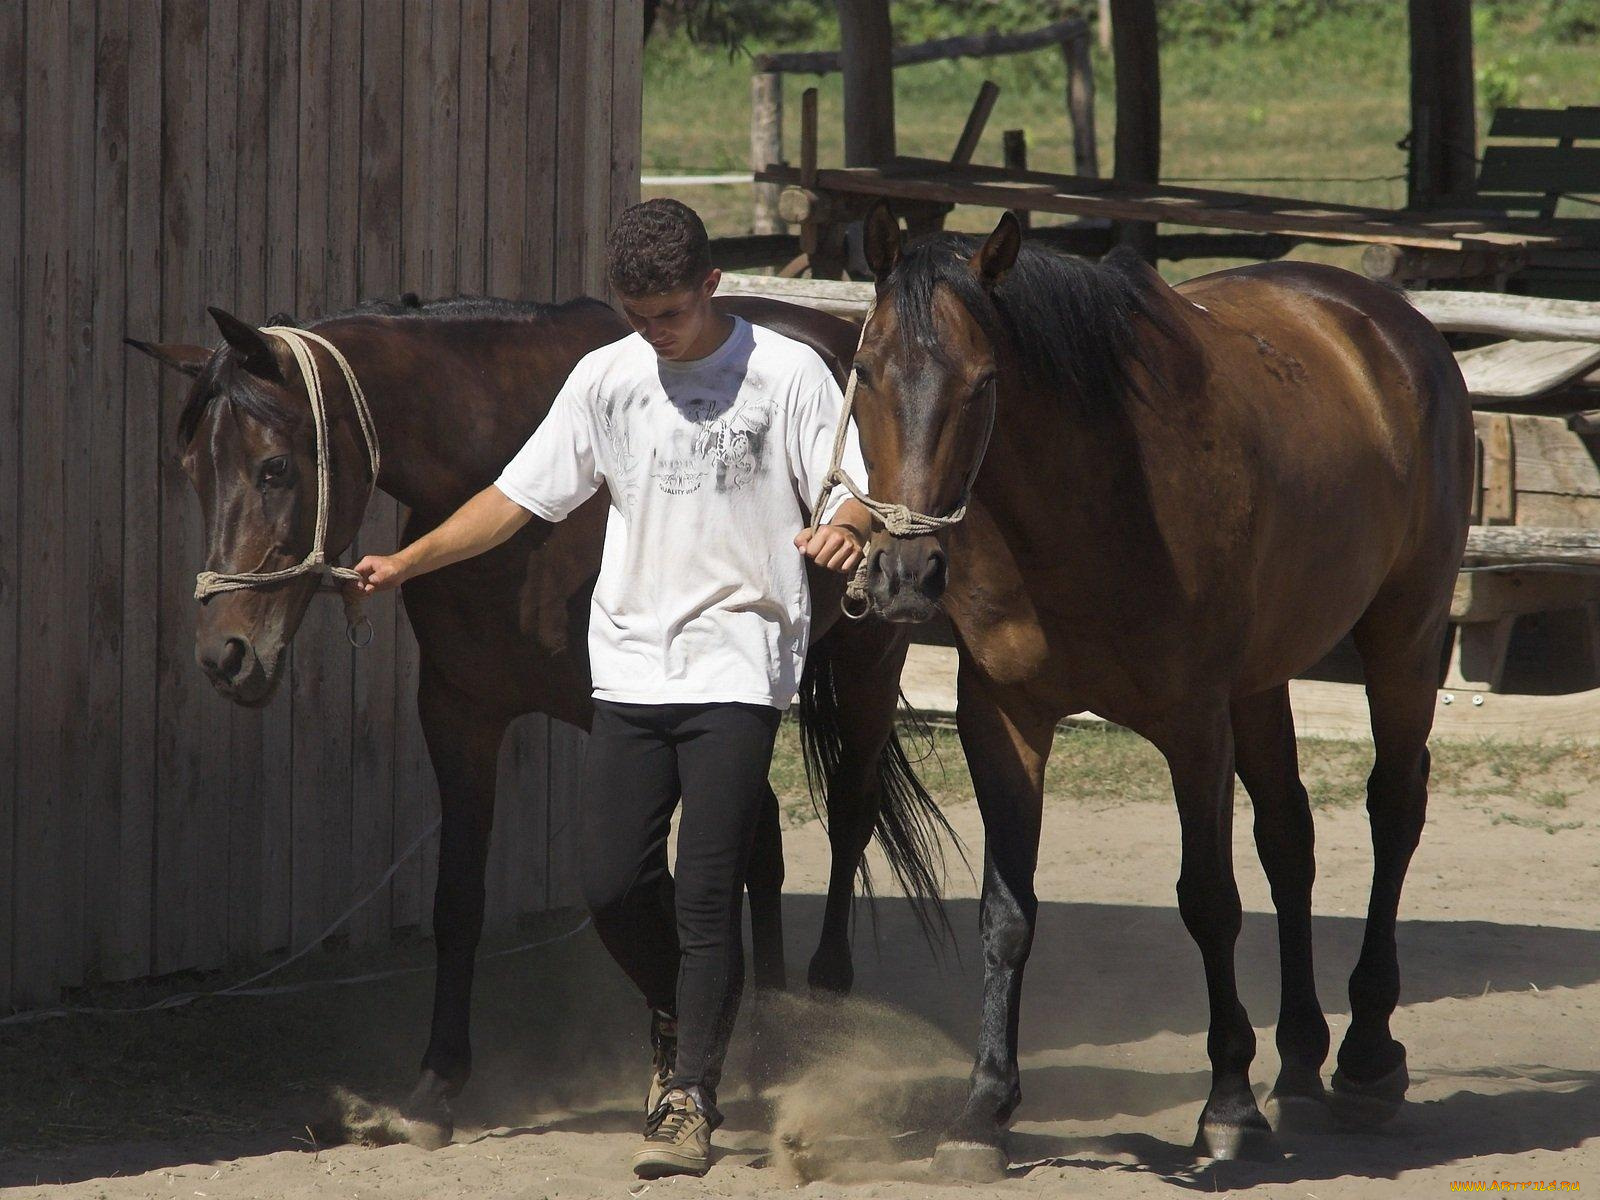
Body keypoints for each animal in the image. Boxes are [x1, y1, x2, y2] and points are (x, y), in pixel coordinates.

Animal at [851, 204, 1472, 1177]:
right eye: (865, 370)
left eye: (984, 384)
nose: (905, 574)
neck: (1084, 503)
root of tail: (1386, 321)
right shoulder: (1004, 721)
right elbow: (1007, 914)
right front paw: (984, 1108)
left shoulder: (1194, 726)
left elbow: (1209, 902)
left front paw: (1227, 1108)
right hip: (1265, 679)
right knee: (1289, 836)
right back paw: (1300, 1063)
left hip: (1402, 636)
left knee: (1393, 810)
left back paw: (1367, 1055)